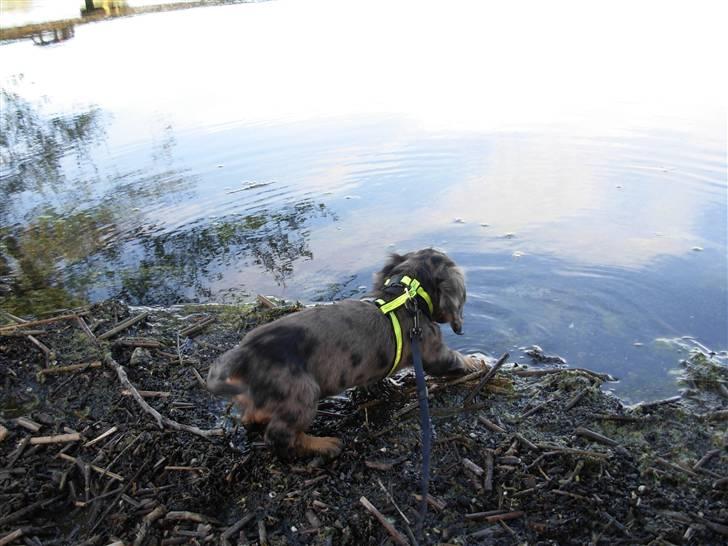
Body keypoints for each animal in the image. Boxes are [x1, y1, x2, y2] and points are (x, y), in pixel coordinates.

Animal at [208, 249, 486, 456]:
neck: (407, 296)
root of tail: (244, 354)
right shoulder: (433, 353)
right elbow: (456, 359)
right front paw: (478, 362)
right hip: (303, 394)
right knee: (280, 435)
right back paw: (324, 445)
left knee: (251, 417)